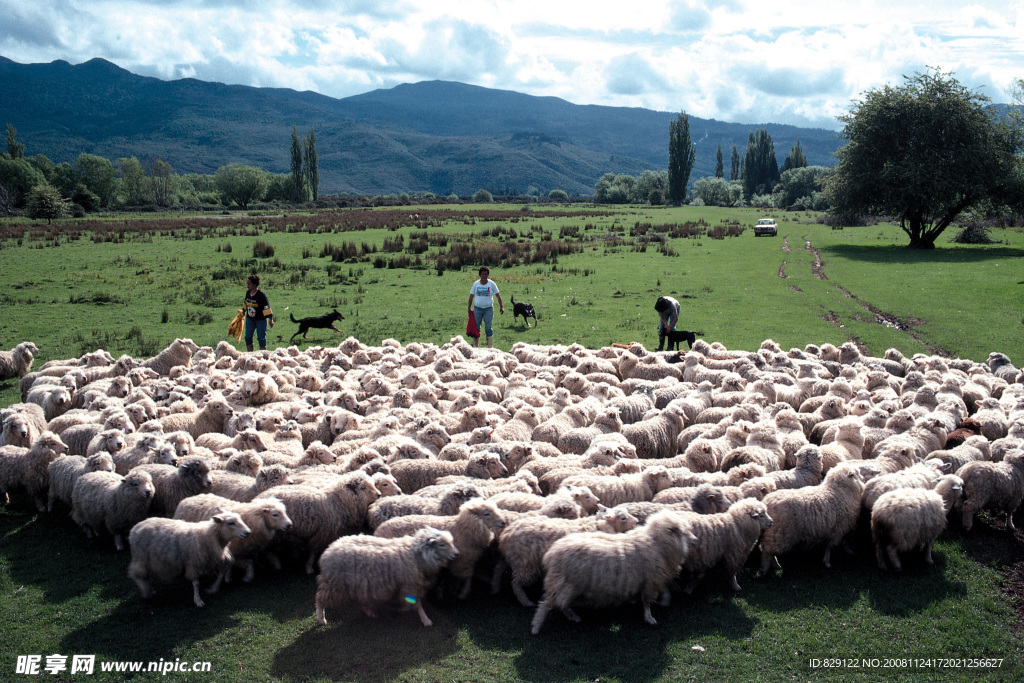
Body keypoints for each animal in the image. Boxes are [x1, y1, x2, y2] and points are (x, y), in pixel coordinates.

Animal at [311, 528, 456, 626]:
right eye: (442, 544)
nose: (456, 554)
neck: (417, 554)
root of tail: (327, 551)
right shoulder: (409, 586)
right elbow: (417, 605)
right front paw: (426, 620)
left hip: (355, 585)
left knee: (359, 601)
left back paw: (371, 612)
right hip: (334, 584)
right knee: (319, 598)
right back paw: (321, 618)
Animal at [374, 497, 505, 598]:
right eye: (486, 513)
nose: (503, 522)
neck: (463, 528)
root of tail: (378, 530)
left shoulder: (465, 560)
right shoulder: (463, 561)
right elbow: (468, 577)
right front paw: (463, 592)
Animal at [495, 505, 638, 606]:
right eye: (623, 518)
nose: (637, 522)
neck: (598, 525)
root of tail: (506, 534)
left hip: (513, 560)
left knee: (500, 569)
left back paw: (495, 588)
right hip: (525, 564)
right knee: (516, 583)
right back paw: (525, 601)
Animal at [528, 509, 696, 634]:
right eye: (683, 532)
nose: (695, 540)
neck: (655, 543)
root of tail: (551, 553)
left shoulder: (651, 578)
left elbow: (660, 592)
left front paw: (662, 602)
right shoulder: (650, 580)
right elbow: (647, 602)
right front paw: (650, 618)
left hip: (568, 585)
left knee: (562, 604)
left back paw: (573, 616)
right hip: (564, 583)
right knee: (547, 604)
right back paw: (536, 627)